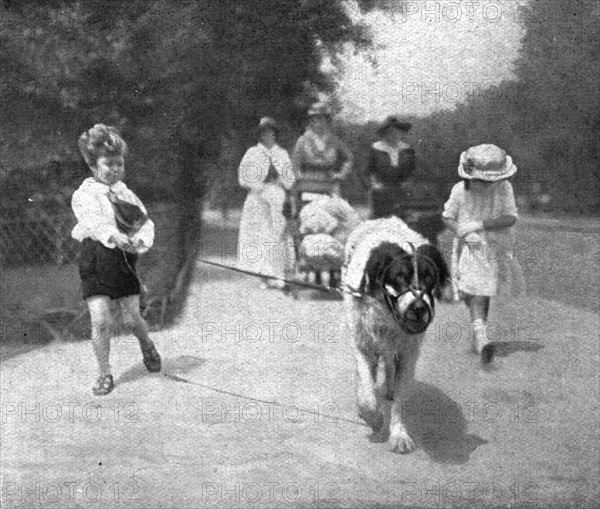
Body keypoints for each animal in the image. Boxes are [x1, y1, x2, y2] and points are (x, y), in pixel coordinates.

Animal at [344, 216, 448, 450]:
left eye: (429, 277)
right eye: (400, 276)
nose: (419, 308)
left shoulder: (409, 353)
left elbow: (400, 400)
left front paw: (399, 434)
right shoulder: (363, 344)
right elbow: (367, 392)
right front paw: (373, 417)